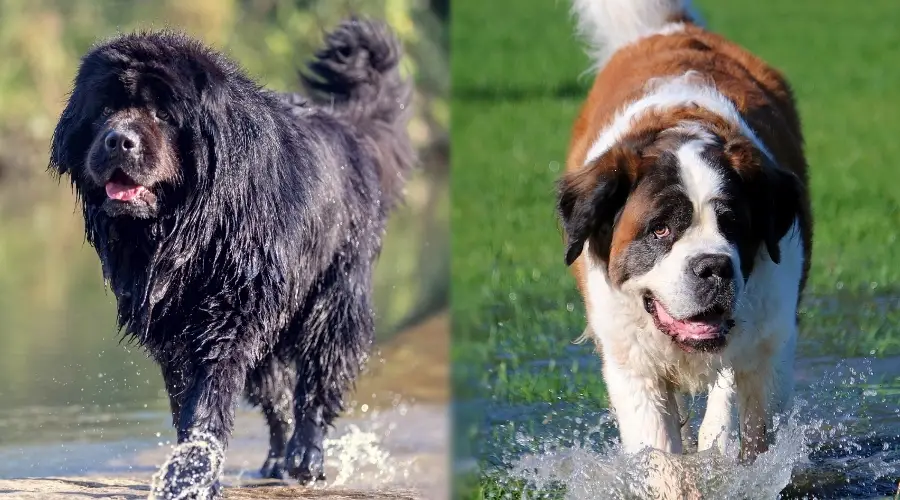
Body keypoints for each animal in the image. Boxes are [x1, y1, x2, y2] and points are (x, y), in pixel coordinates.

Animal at [50, 17, 414, 498]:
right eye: (105, 109)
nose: (118, 140)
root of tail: (346, 130)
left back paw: (305, 456)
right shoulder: (175, 330)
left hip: (334, 297)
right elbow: (188, 400)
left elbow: (208, 400)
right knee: (277, 396)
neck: (192, 230)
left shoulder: (228, 319)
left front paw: (190, 476)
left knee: (317, 383)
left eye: (163, 114)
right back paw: (276, 459)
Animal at [560, 0, 812, 460]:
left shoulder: (768, 343)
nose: (714, 267)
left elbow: (739, 418)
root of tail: (673, 31)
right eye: (660, 230)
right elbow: (661, 452)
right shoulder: (631, 361)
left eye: (732, 224)